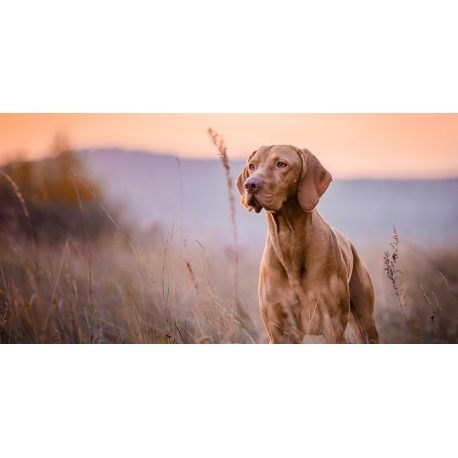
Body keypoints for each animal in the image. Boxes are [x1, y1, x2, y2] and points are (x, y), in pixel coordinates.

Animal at [236, 144, 380, 344]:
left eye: (281, 164)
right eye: (252, 166)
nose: (250, 184)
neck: (289, 239)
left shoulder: (333, 329)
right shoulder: (279, 333)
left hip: (365, 322)